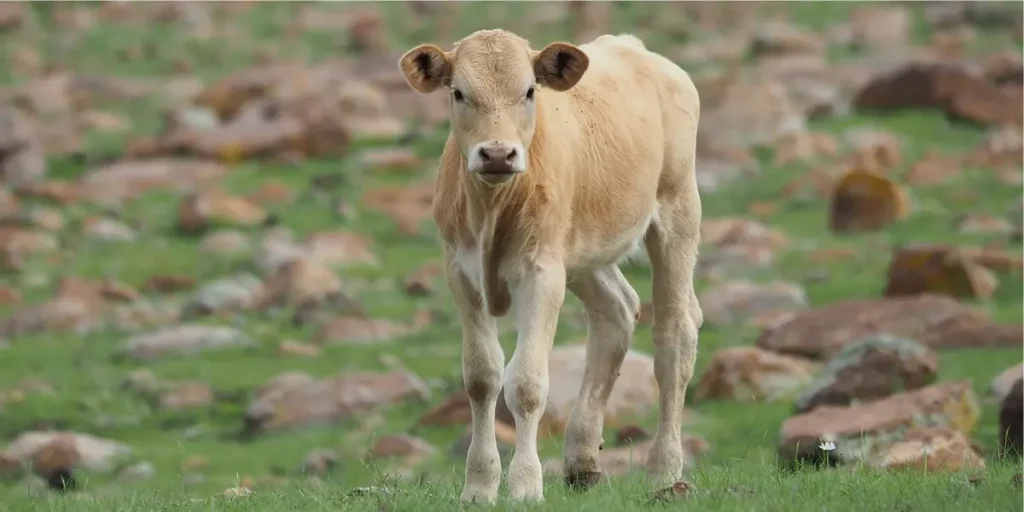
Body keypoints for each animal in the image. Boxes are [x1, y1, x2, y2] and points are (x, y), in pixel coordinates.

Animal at [397, 29, 704, 503]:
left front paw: (525, 485)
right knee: (616, 313)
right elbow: (481, 376)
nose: (498, 154)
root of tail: (635, 48)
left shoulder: (541, 274)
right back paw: (582, 462)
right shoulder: (462, 273)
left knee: (675, 334)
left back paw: (665, 471)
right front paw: (479, 485)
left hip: (677, 210)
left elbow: (525, 383)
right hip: (584, 252)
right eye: (459, 92)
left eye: (528, 91)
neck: (494, 208)